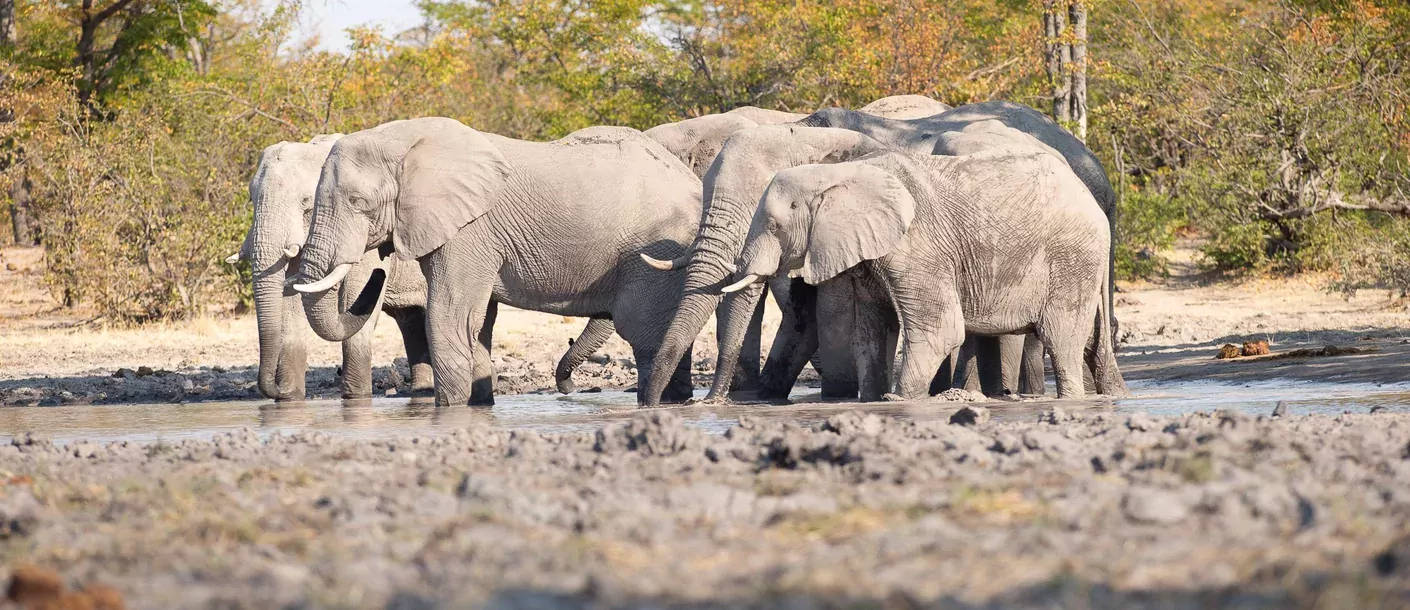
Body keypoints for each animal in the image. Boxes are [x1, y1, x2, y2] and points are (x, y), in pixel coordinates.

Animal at [228, 135, 609, 400]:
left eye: (307, 206)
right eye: (251, 199)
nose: (275, 390)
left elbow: (353, 306)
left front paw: (354, 398)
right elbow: (291, 309)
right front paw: (290, 400)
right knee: (414, 321)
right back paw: (423, 392)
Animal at [291, 116, 705, 405]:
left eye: (358, 202)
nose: (377, 270)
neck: (408, 139)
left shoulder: (470, 230)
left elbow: (450, 317)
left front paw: (451, 410)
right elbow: (479, 324)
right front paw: (479, 406)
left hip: (655, 251)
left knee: (644, 333)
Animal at [727, 143, 1122, 400]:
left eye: (774, 226)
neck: (837, 173)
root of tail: (1095, 205)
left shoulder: (917, 247)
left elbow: (940, 331)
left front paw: (901, 401)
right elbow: (871, 332)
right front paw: (871, 401)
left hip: (1071, 258)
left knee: (1062, 338)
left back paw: (1071, 400)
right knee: (1088, 342)